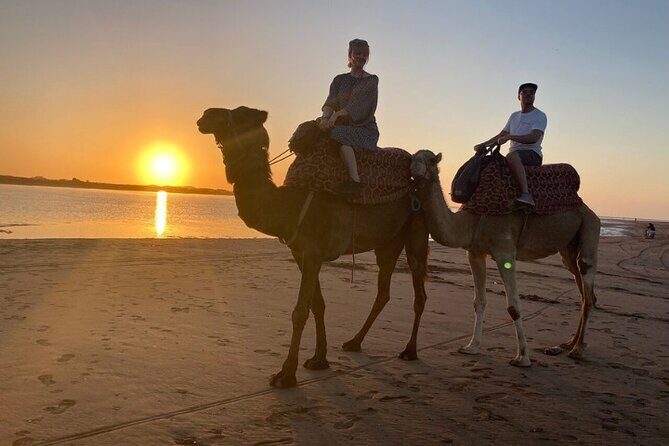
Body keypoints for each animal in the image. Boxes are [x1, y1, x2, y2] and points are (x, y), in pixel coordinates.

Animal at [197, 106, 429, 388]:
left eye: (240, 114)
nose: (205, 115)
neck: (287, 206)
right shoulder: (301, 253)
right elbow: (317, 304)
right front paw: (319, 359)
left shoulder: (313, 252)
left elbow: (300, 311)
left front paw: (286, 374)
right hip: (388, 243)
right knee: (383, 292)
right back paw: (354, 342)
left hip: (417, 230)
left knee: (419, 292)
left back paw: (410, 350)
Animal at [410, 150, 600, 366]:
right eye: (412, 157)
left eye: (431, 160)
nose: (414, 168)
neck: (473, 220)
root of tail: (589, 210)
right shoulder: (474, 253)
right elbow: (479, 301)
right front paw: (471, 347)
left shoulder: (505, 253)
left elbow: (513, 306)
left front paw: (522, 357)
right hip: (568, 248)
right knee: (583, 290)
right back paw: (570, 343)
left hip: (590, 229)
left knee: (587, 285)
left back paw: (577, 350)